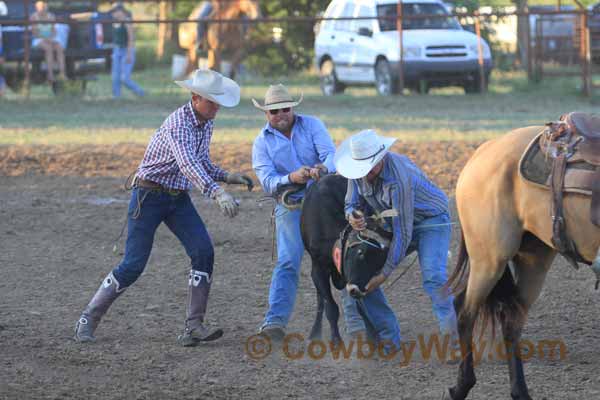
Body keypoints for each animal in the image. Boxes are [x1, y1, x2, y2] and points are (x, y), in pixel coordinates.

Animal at [440, 113, 600, 400]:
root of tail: (483, 150)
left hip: (533, 260)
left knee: (511, 322)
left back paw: (520, 392)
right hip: (489, 260)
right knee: (465, 311)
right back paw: (461, 386)